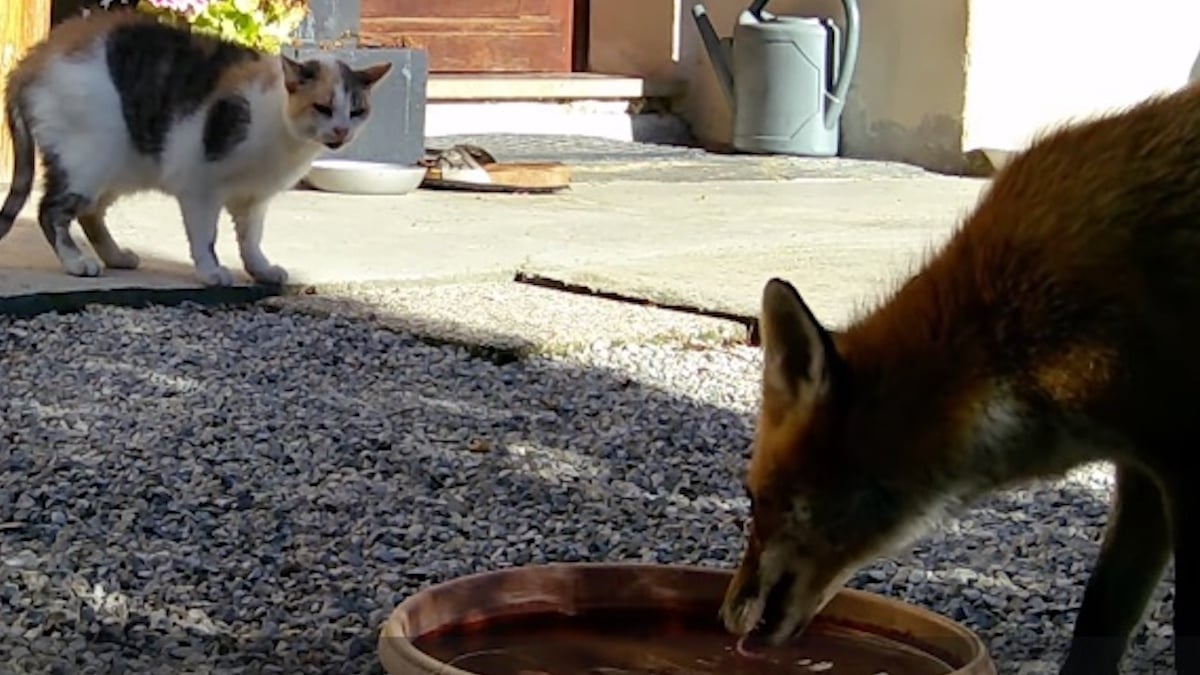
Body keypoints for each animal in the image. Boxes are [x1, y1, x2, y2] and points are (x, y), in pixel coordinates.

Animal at [0, 10, 391, 284]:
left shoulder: (254, 198)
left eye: (357, 110)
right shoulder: (199, 187)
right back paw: (77, 262)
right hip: (87, 161)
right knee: (50, 211)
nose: (341, 130)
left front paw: (260, 269)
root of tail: (34, 57)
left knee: (90, 213)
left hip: (119, 166)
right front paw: (211, 272)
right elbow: (206, 236)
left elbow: (251, 240)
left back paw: (116, 257)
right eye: (323, 107)